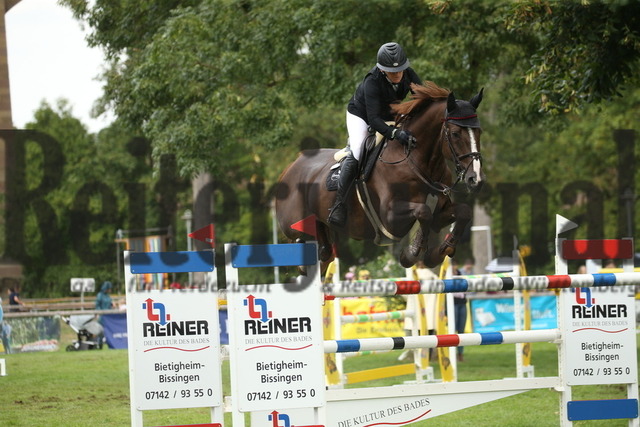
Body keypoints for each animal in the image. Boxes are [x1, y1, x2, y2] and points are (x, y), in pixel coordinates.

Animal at [276, 81, 484, 270]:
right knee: (297, 242)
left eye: (479, 131)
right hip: (293, 225)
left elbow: (463, 212)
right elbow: (423, 212)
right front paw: (411, 254)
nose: (475, 179)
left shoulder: (440, 213)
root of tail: (291, 166)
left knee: (324, 252)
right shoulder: (390, 217)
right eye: (455, 134)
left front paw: (439, 254)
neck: (417, 161)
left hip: (320, 224)